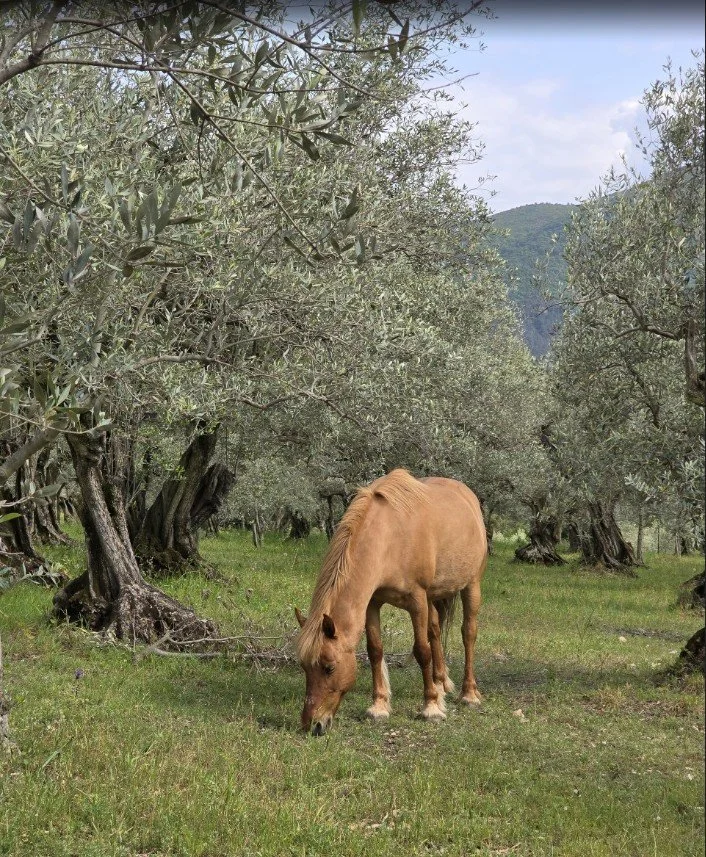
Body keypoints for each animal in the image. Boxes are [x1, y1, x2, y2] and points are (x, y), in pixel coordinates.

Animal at [295, 468, 487, 736]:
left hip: (471, 585)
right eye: (304, 667)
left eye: (329, 667)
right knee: (435, 631)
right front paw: (379, 706)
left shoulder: (417, 600)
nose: (313, 724)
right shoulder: (372, 603)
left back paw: (468, 694)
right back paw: (441, 684)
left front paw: (430, 708)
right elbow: (375, 650)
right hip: (434, 596)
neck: (390, 536)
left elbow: (421, 650)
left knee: (468, 633)